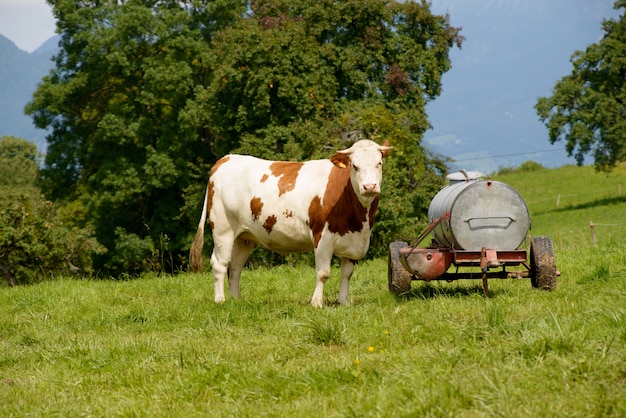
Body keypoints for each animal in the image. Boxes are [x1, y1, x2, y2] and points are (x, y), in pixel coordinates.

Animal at [188, 139, 388, 306]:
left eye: (379, 164)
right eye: (355, 166)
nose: (369, 187)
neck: (359, 221)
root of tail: (226, 158)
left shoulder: (353, 241)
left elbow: (347, 274)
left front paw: (343, 302)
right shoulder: (322, 237)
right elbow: (323, 273)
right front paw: (316, 303)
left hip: (244, 236)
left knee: (235, 267)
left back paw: (236, 299)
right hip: (223, 229)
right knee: (220, 264)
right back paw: (220, 300)